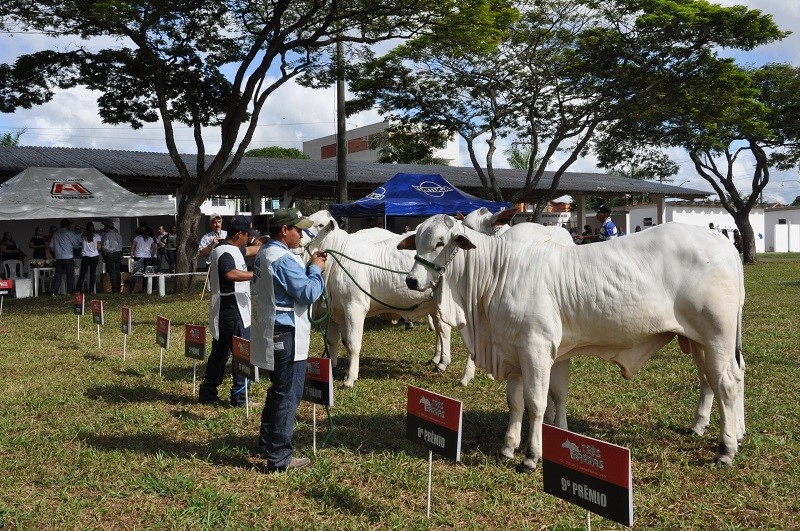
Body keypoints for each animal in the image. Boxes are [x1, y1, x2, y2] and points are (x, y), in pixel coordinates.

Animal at [306, 218, 454, 388]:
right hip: (433, 307)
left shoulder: (355, 307)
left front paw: (350, 378)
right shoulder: (336, 311)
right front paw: (340, 369)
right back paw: (436, 358)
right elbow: (337, 341)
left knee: (444, 330)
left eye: (319, 224)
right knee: (439, 329)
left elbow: (353, 344)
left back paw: (443, 363)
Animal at [404, 216, 748, 470]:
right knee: (712, 380)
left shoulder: (536, 348)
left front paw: (531, 457)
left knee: (727, 383)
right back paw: (708, 429)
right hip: (697, 341)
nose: (412, 280)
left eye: (440, 242)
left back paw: (726, 449)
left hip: (717, 337)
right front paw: (507, 448)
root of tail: (724, 244)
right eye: (416, 240)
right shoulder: (514, 353)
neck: (497, 273)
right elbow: (516, 402)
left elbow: (537, 402)